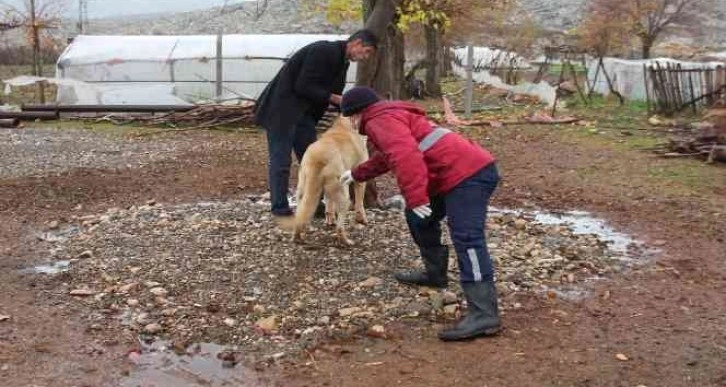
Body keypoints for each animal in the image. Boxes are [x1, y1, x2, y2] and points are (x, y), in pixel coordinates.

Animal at [278, 116, 370, 247]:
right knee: (339, 227)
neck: (344, 124)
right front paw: (362, 219)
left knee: (300, 216)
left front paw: (329, 220)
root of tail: (317, 158)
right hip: (344, 196)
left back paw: (298, 237)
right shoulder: (360, 181)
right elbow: (359, 204)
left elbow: (329, 205)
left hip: (302, 192)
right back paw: (345, 241)